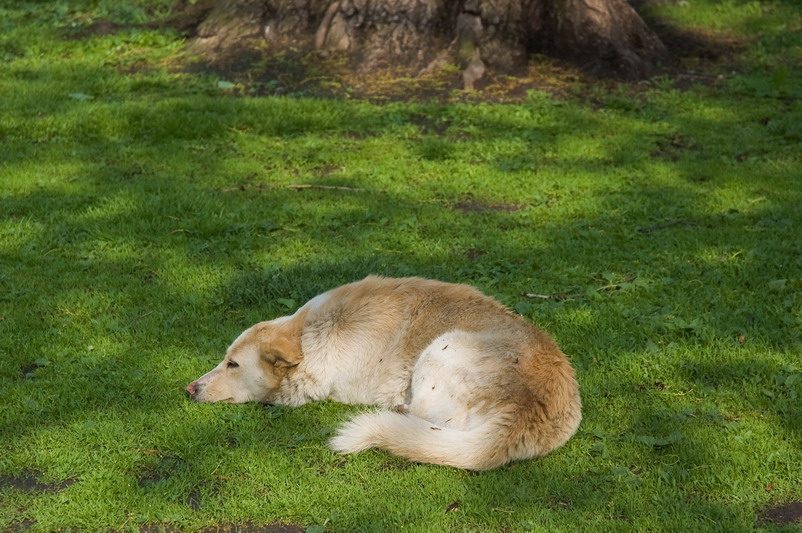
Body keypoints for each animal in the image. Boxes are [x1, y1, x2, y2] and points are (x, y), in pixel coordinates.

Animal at [184, 276, 580, 468]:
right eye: (224, 360)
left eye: (233, 365)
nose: (190, 389)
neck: (312, 334)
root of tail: (524, 414)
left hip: (442, 349)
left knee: (420, 419)